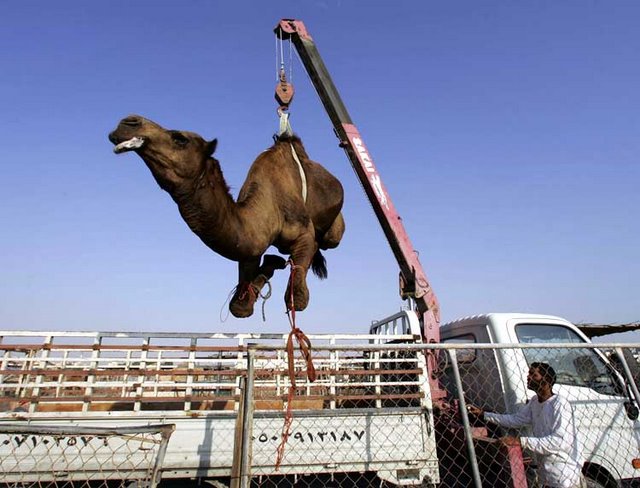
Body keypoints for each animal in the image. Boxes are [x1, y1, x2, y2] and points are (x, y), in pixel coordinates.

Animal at [108, 115, 345, 318]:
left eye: (180, 138)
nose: (128, 122)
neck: (269, 206)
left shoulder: (302, 231)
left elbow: (296, 296)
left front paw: (295, 289)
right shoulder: (250, 249)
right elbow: (239, 307)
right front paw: (271, 263)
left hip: (335, 231)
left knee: (326, 240)